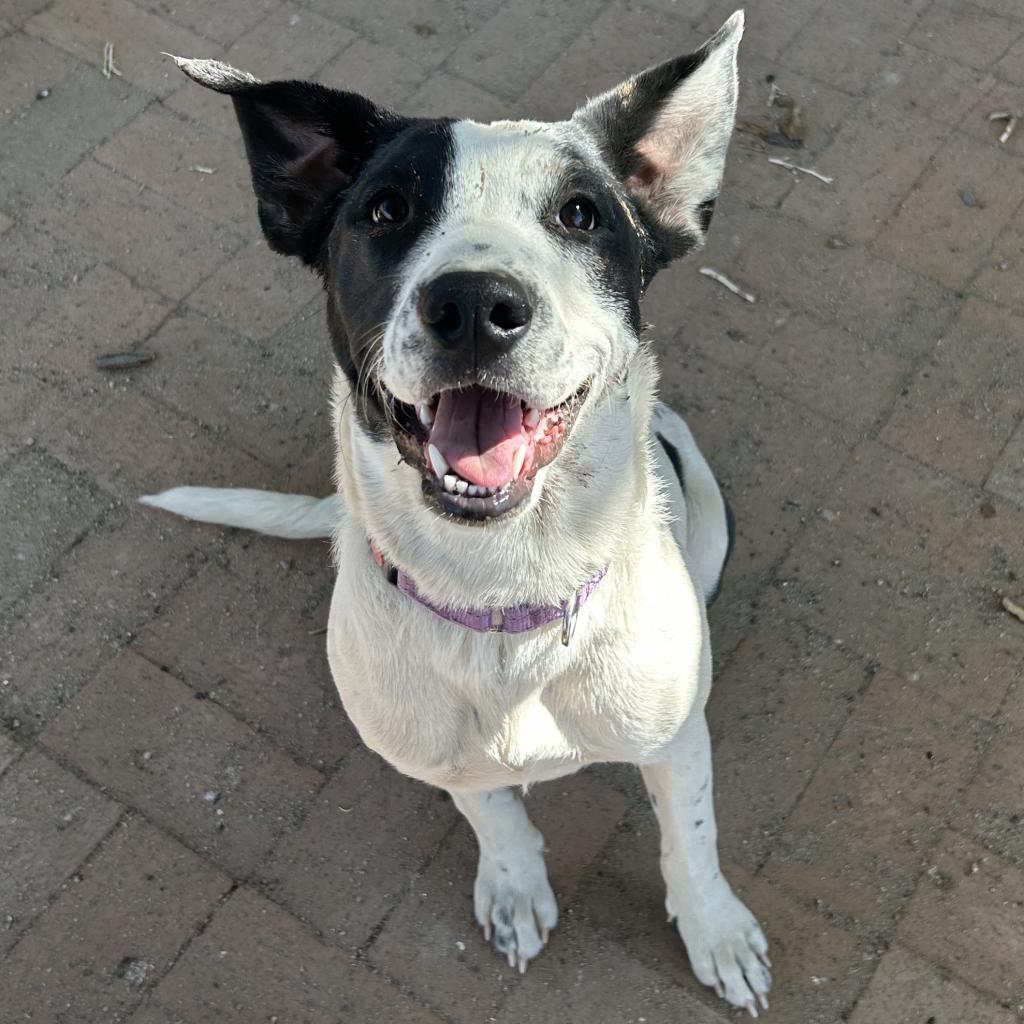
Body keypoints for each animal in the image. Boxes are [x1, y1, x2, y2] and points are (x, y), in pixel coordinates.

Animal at [142, 9, 770, 1015]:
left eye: (581, 214)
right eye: (385, 211)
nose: (475, 303)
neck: (503, 595)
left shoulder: (676, 742)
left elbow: (692, 842)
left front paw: (715, 933)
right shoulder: (438, 756)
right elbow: (492, 812)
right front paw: (514, 885)